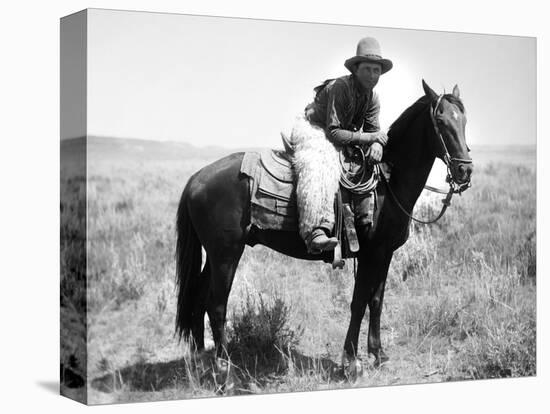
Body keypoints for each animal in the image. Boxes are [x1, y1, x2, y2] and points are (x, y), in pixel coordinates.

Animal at [176, 79, 474, 380]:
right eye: (440, 120)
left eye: (464, 120)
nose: (465, 171)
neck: (387, 182)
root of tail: (195, 179)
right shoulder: (371, 254)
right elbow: (358, 302)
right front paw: (351, 362)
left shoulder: (385, 254)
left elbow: (376, 300)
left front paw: (378, 354)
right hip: (226, 255)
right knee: (216, 305)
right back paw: (225, 372)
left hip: (214, 256)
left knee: (199, 299)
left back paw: (203, 362)